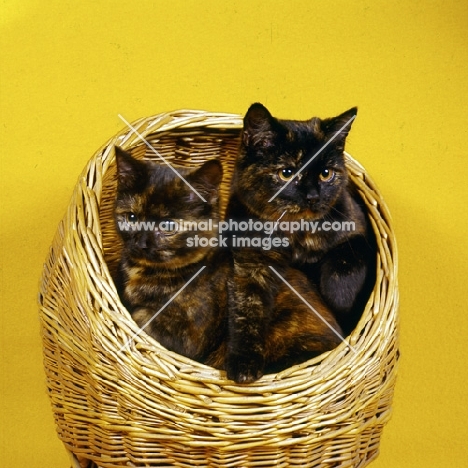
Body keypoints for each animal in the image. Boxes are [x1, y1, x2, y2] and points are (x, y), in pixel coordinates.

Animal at [225, 104, 374, 382]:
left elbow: (344, 266)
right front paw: (244, 364)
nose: (313, 196)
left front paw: (337, 302)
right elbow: (246, 309)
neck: (296, 235)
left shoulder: (358, 231)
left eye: (326, 174)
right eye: (286, 173)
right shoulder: (251, 264)